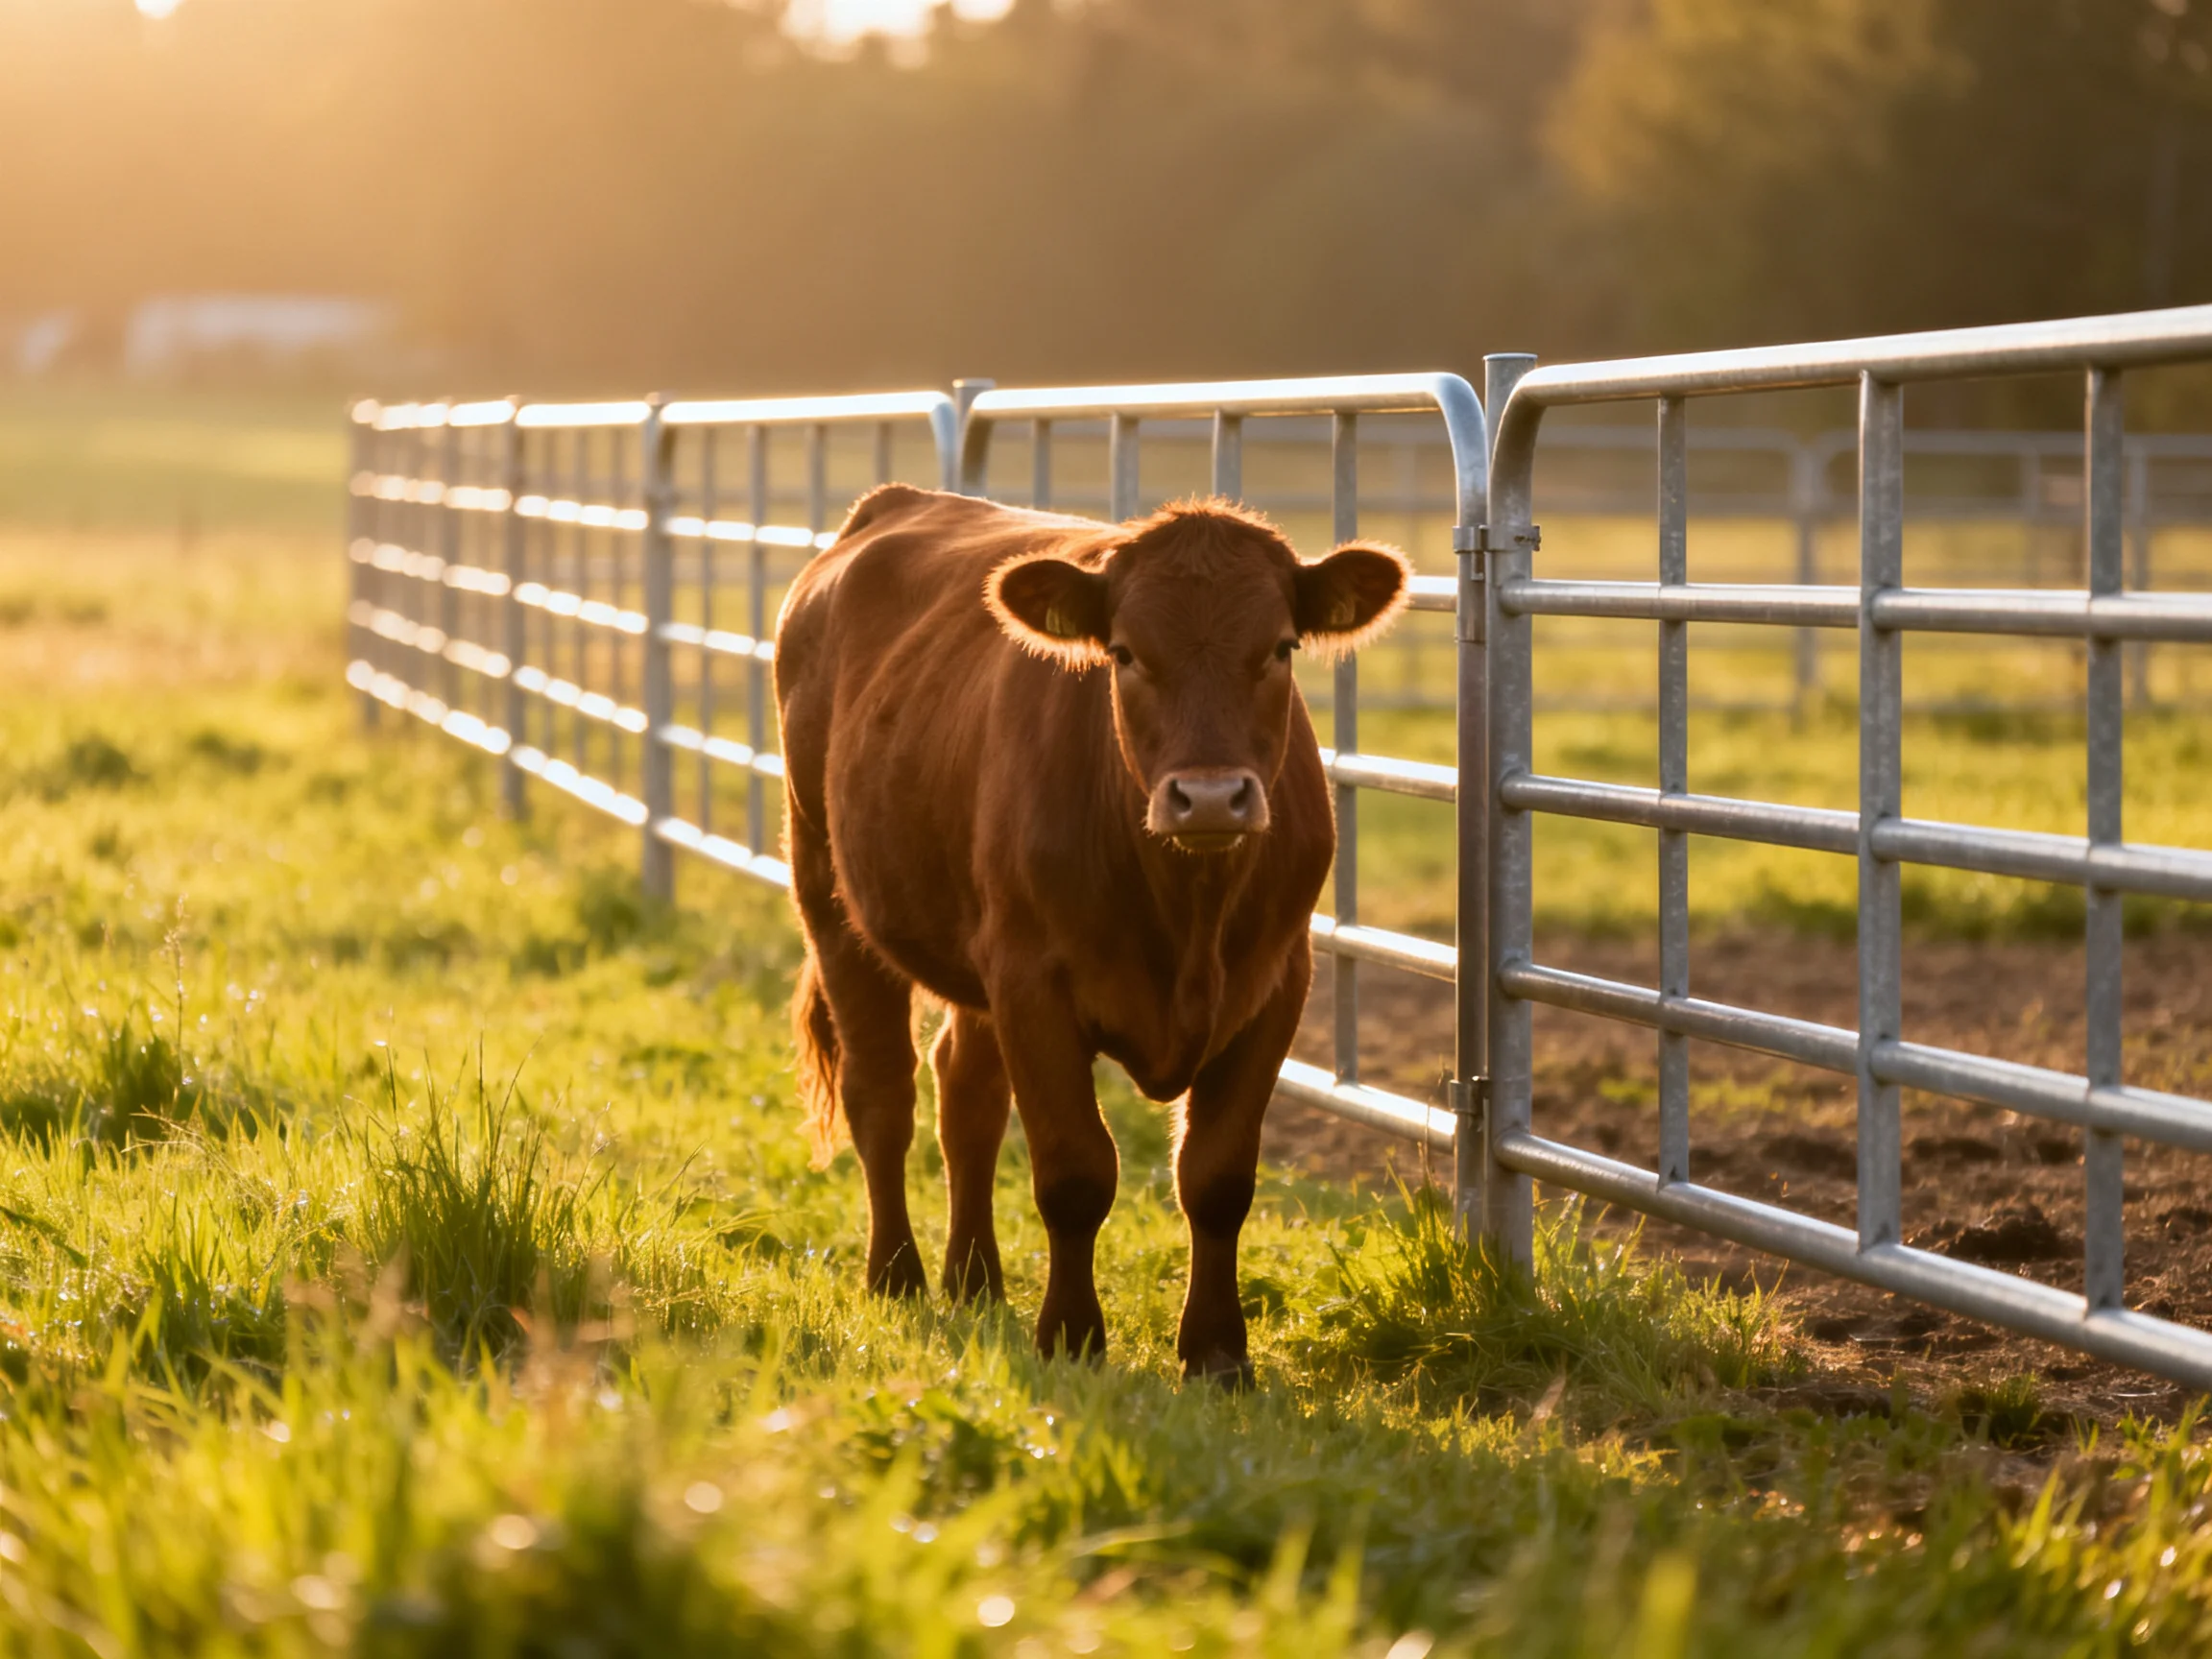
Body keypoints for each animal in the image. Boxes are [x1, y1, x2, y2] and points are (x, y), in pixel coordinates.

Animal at [774, 484, 1409, 1383]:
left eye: (1281, 648)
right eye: (1125, 653)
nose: (1209, 798)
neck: (1187, 908)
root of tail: (898, 503)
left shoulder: (1277, 984)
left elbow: (1218, 1177)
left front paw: (1218, 1353)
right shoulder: (1032, 983)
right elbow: (1074, 1170)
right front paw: (1071, 1338)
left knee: (966, 1093)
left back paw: (974, 1282)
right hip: (828, 892)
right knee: (884, 1094)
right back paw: (896, 1277)